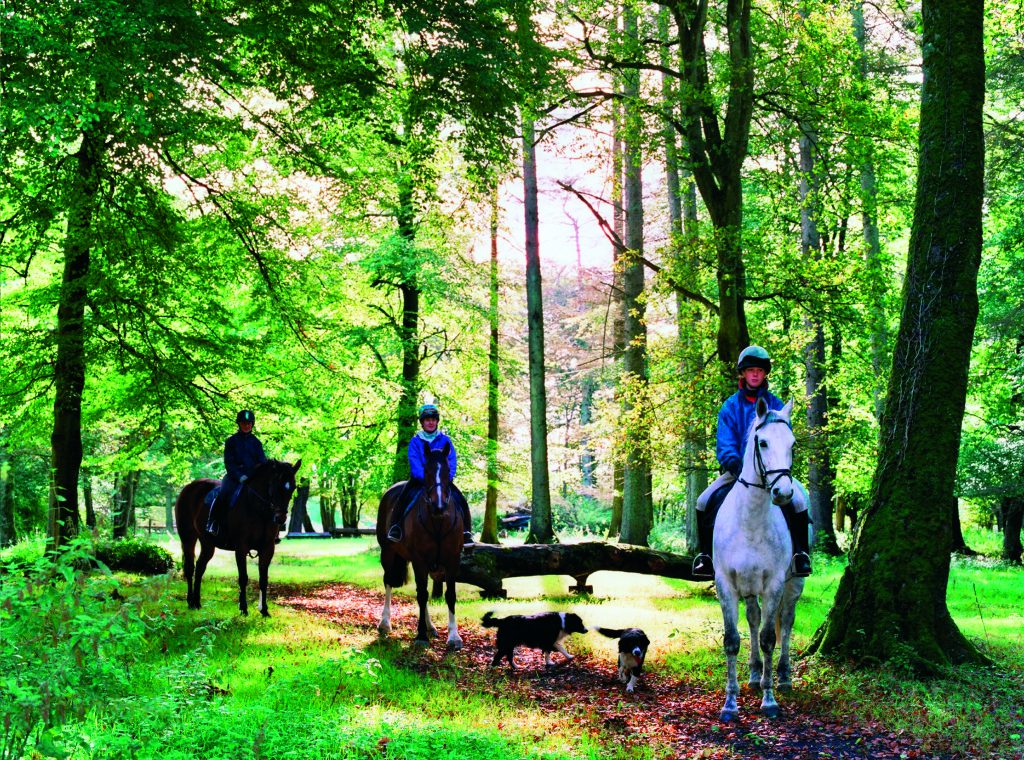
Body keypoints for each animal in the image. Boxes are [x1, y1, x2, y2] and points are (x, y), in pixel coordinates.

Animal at [174, 458, 301, 618]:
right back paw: (190, 602)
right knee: (190, 568)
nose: (280, 518)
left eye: (293, 487)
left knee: (200, 567)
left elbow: (263, 579)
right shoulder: (241, 547)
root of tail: (189, 488)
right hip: (188, 538)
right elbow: (243, 578)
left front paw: (264, 610)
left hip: (208, 544)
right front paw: (243, 608)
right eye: (276, 486)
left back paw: (197, 603)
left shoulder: (267, 548)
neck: (258, 510)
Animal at [376, 444, 464, 651]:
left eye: (447, 471)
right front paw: (421, 636)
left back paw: (431, 627)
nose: (439, 506)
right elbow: (422, 595)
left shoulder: (452, 560)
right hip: (388, 553)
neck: (438, 522)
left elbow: (449, 595)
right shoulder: (419, 560)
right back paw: (385, 623)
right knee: (389, 581)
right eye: (427, 472)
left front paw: (454, 637)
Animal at [712, 395, 806, 725]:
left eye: (793, 444)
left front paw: (769, 701)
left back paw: (784, 677)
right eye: (762, 443)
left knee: (786, 622)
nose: (783, 492)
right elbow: (732, 640)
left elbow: (768, 638)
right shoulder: (725, 584)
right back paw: (753, 676)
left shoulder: (774, 584)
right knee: (752, 620)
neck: (751, 520)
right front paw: (730, 704)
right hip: (749, 588)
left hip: (794, 584)